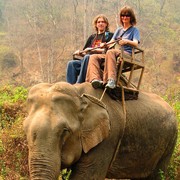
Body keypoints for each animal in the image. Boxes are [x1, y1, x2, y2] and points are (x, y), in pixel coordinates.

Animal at [23, 82, 177, 180]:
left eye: (65, 131)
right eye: (25, 128)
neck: (80, 94)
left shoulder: (108, 139)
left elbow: (87, 177)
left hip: (170, 142)